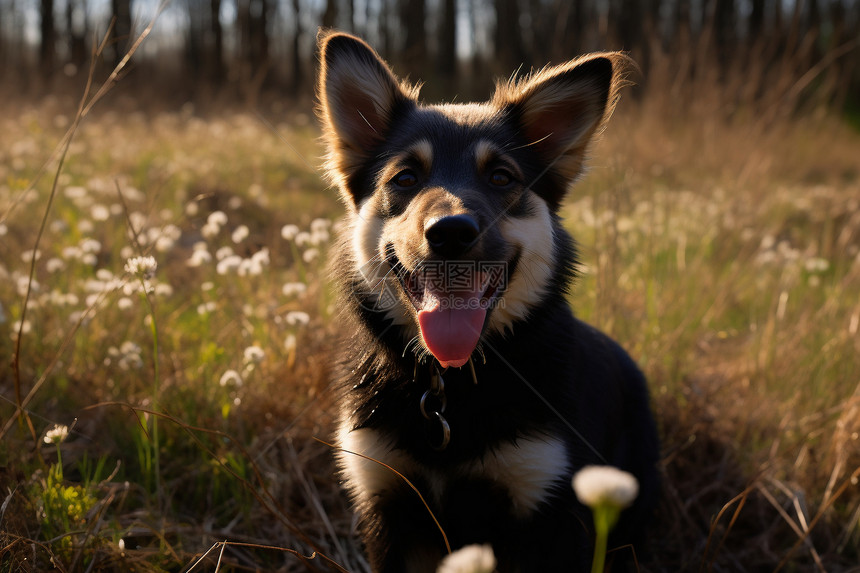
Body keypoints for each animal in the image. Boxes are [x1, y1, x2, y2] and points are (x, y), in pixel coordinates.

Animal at [316, 31, 660, 572]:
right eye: (404, 178)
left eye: (501, 177)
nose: (450, 233)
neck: (450, 385)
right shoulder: (388, 501)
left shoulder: (549, 507)